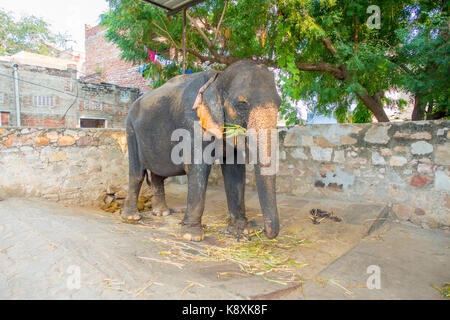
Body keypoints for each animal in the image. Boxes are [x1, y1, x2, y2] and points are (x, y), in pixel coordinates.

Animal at [121, 59, 280, 240]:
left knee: (157, 175)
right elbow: (198, 168)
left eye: (280, 104)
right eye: (242, 105)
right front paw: (191, 235)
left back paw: (162, 213)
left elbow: (234, 170)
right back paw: (131, 218)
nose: (264, 231)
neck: (218, 79)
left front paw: (242, 231)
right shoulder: (192, 123)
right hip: (130, 129)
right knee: (137, 173)